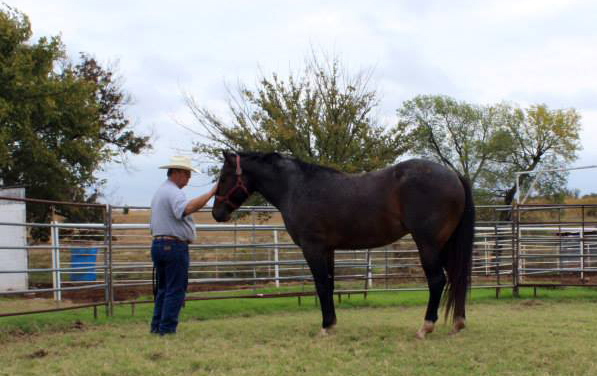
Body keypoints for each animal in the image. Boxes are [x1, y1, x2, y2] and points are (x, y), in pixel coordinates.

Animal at [212, 151, 472, 340]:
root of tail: (454, 176)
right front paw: (332, 324)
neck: (297, 188)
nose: (217, 213)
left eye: (223, 178)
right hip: (445, 245)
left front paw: (325, 327)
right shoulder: (327, 250)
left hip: (428, 245)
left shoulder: (313, 248)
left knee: (437, 281)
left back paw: (425, 327)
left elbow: (321, 285)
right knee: (457, 278)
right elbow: (329, 284)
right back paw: (458, 324)